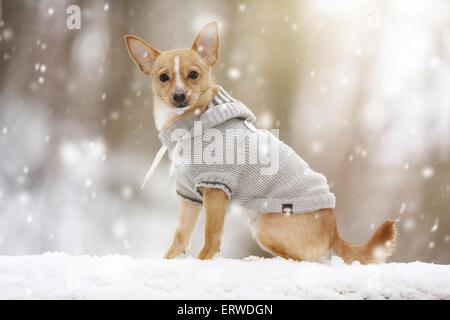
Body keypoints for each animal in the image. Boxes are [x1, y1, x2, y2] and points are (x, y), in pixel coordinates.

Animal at [124, 21, 398, 262]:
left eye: (193, 75)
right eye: (163, 77)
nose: (179, 95)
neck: (189, 121)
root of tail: (334, 233)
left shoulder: (216, 188)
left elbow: (211, 239)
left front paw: (202, 262)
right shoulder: (190, 194)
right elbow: (181, 235)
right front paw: (169, 260)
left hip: (264, 225)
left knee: (303, 260)